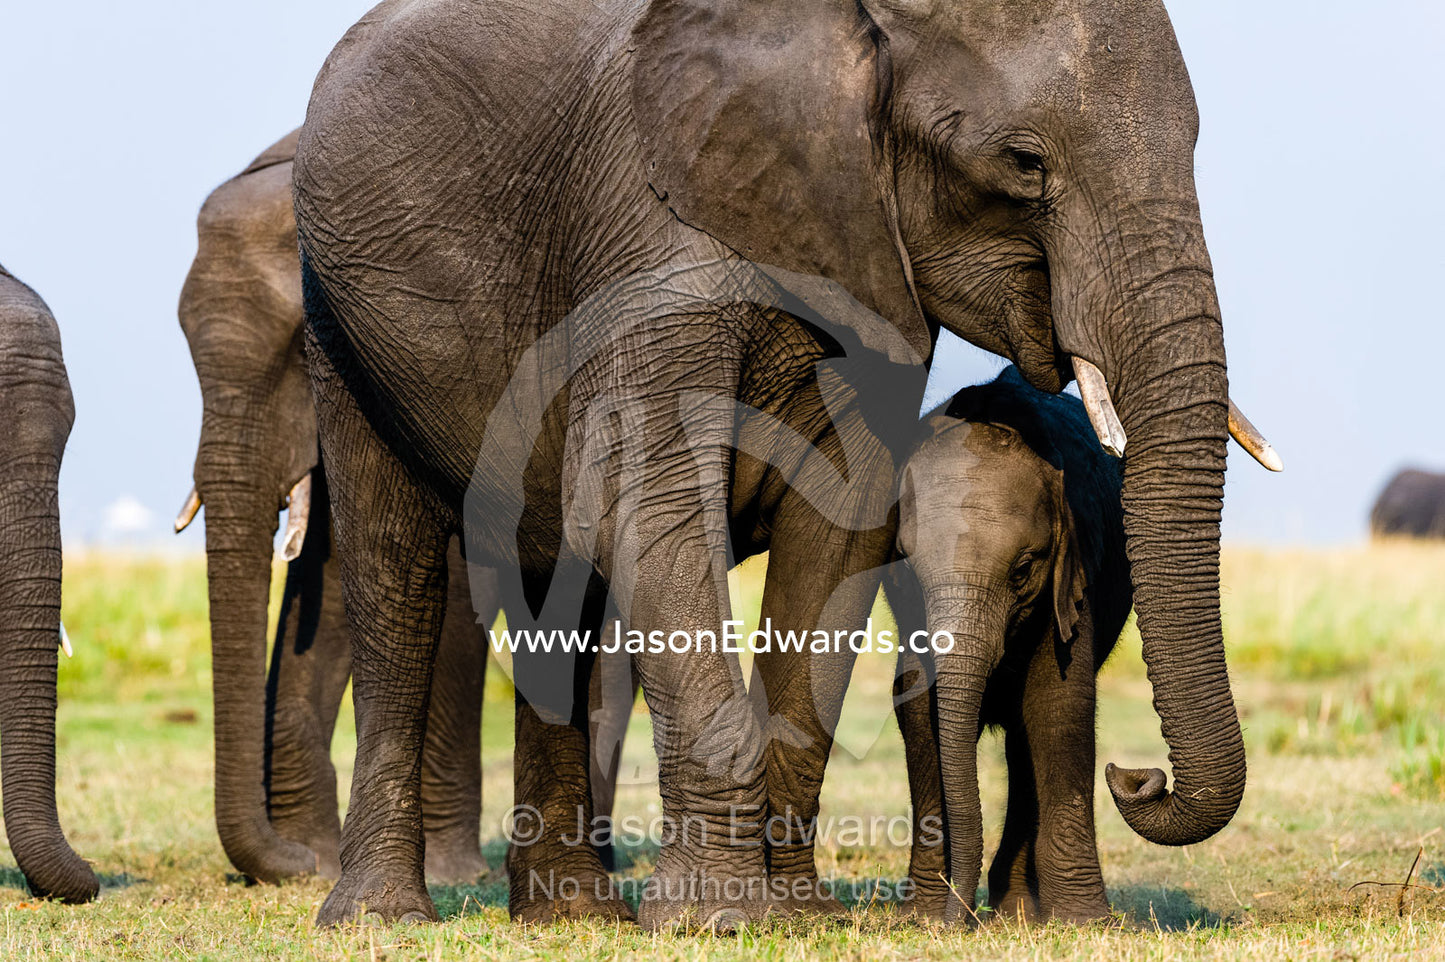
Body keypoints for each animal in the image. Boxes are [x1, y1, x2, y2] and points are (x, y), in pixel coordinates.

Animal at [888, 366, 1130, 923]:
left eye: (1022, 570)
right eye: (908, 569)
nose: (959, 920)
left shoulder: (1071, 580)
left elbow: (1058, 705)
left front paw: (1085, 921)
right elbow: (916, 708)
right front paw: (923, 917)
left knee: (1025, 739)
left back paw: (1018, 910)